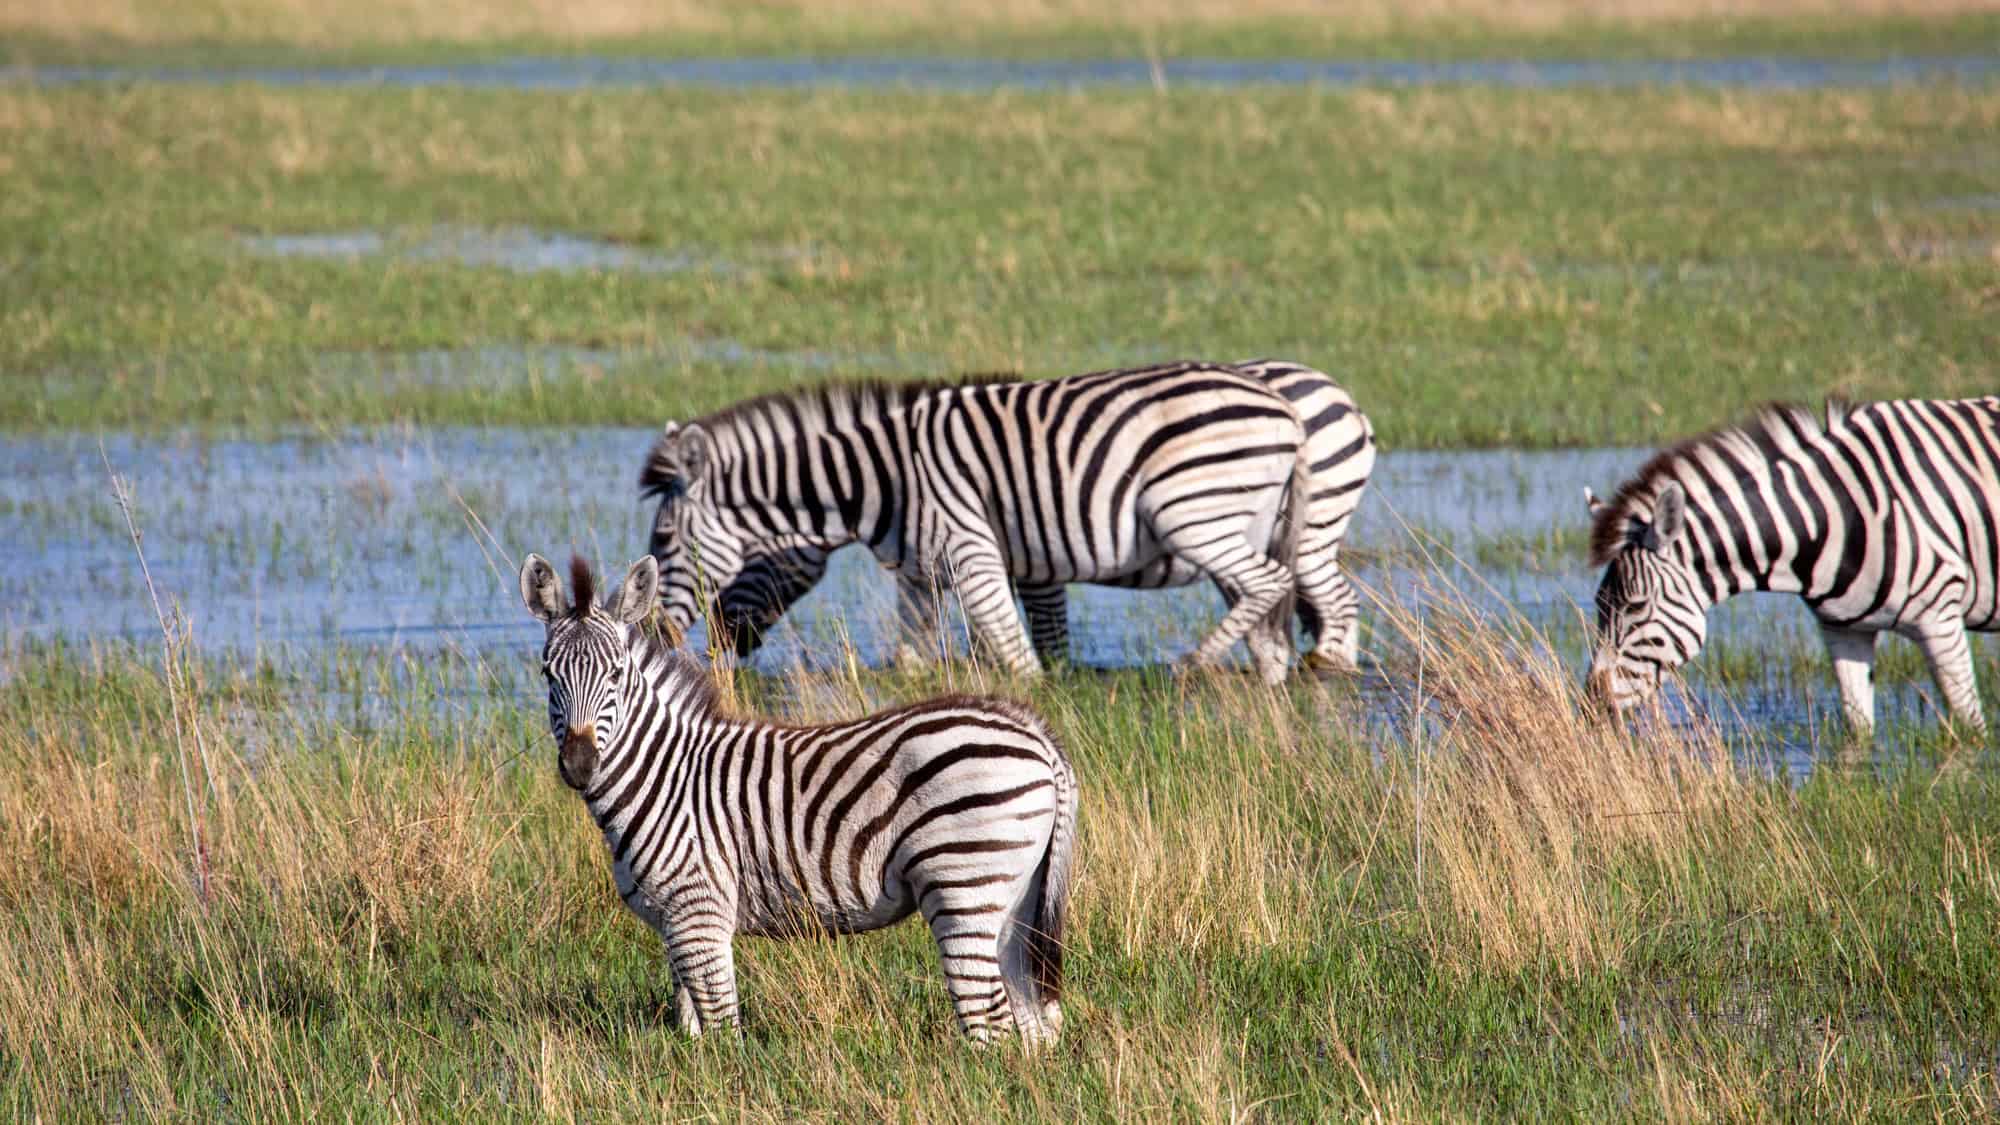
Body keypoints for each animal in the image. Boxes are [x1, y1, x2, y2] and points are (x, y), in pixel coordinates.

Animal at [521, 551, 1079, 1043]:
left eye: (616, 674)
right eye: (548, 673)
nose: (579, 764)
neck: (664, 776)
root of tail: (1035, 733)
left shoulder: (700, 913)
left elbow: (722, 1031)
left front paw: (727, 1080)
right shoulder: (675, 922)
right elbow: (690, 1026)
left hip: (963, 884)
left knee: (992, 1023)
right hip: (1017, 899)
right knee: (1033, 1023)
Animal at [639, 360, 1375, 685]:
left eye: (665, 540)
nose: (702, 640)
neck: (883, 475)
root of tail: (1299, 402)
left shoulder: (983, 552)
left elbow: (1025, 651)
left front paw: (1039, 696)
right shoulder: (924, 569)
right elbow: (914, 652)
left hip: (1206, 516)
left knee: (1298, 591)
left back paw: (1213, 664)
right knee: (1276, 606)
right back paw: (1273, 671)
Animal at [1583, 397, 2000, 734]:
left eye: (1636, 607)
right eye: (1599, 607)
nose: (1592, 704)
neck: (1832, 513)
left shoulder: (1940, 620)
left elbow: (1970, 734)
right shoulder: (1844, 631)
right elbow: (1857, 734)